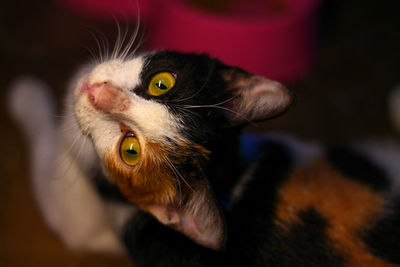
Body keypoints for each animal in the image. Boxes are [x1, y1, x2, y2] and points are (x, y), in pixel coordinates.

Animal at [7, 51, 400, 266]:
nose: (98, 93)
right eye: (161, 83)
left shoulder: (78, 217)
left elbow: (46, 147)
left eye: (130, 151)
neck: (232, 182)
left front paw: (24, 94)